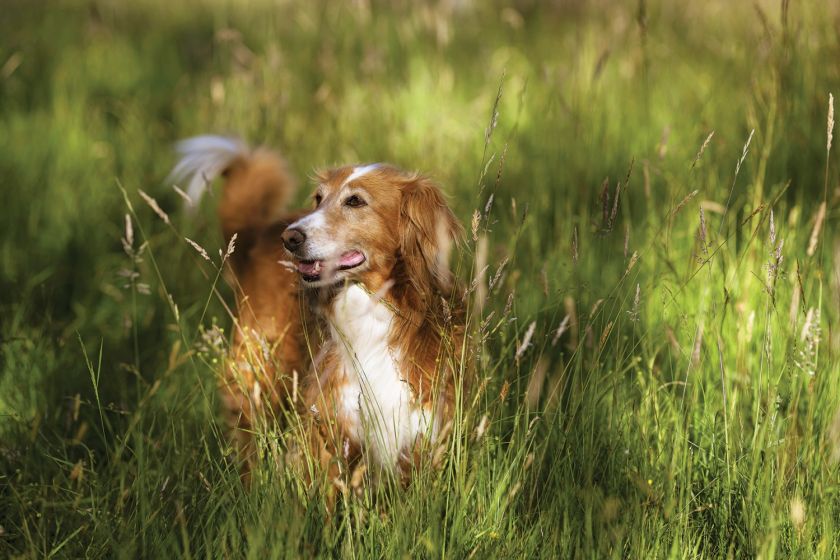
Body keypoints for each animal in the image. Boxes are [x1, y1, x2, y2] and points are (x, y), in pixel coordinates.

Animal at [168, 137, 466, 486]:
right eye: (319, 199)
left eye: (355, 201)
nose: (290, 238)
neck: (372, 311)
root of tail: (263, 232)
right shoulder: (331, 421)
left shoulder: (419, 428)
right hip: (260, 373)